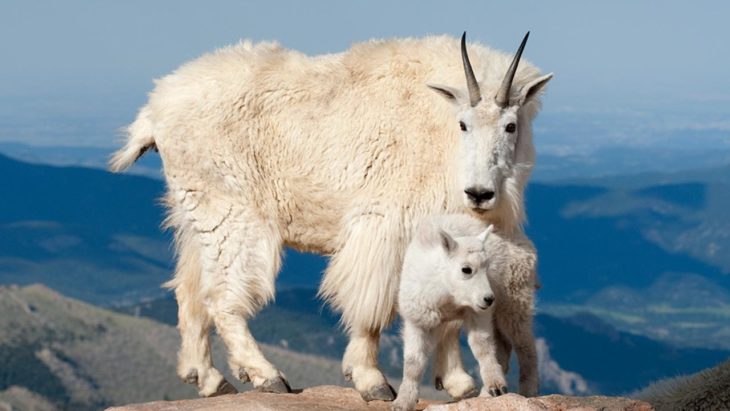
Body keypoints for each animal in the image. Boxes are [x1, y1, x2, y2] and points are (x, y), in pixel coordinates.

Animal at [396, 214, 510, 410]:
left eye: (486, 267)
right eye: (466, 269)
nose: (488, 299)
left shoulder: (477, 313)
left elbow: (482, 346)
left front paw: (496, 386)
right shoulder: (417, 320)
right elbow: (413, 362)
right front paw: (403, 401)